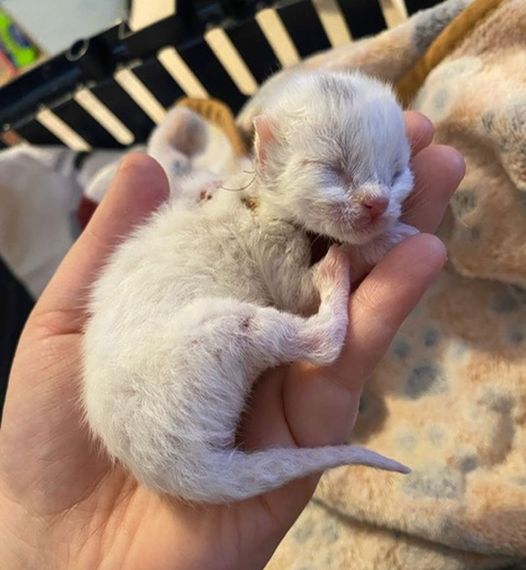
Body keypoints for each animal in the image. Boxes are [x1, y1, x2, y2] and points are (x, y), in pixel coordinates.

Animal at [82, 71, 418, 502]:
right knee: (323, 346)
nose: (378, 204)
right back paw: (333, 272)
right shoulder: (269, 248)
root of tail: (176, 473)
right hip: (213, 333)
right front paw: (387, 240)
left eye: (397, 171)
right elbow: (299, 292)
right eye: (332, 168)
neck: (259, 196)